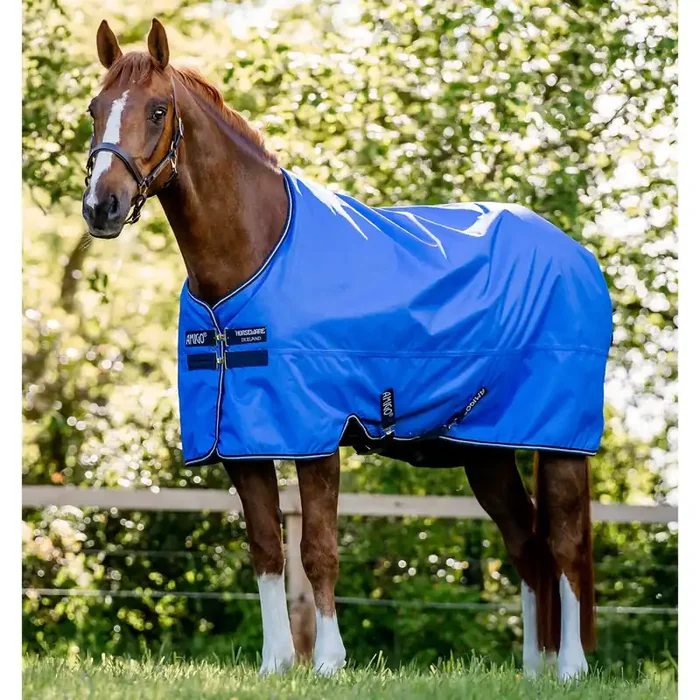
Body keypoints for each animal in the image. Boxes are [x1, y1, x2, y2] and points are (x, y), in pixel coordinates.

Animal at [81, 18, 603, 679]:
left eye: (156, 110)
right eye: (95, 108)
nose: (101, 207)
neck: (253, 256)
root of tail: (576, 254)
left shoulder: (318, 436)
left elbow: (319, 549)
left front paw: (329, 661)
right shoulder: (242, 442)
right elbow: (267, 550)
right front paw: (276, 664)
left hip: (561, 443)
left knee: (563, 543)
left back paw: (571, 668)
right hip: (486, 450)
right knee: (528, 543)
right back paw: (535, 670)